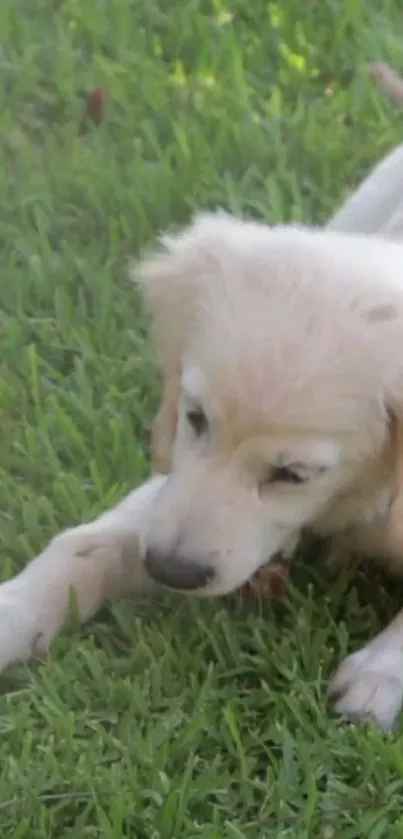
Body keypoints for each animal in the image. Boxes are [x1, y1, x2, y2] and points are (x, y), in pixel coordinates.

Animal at [3, 141, 403, 732]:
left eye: (294, 474)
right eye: (195, 419)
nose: (170, 570)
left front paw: (379, 675)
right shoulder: (173, 483)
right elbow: (85, 542)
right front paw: (10, 612)